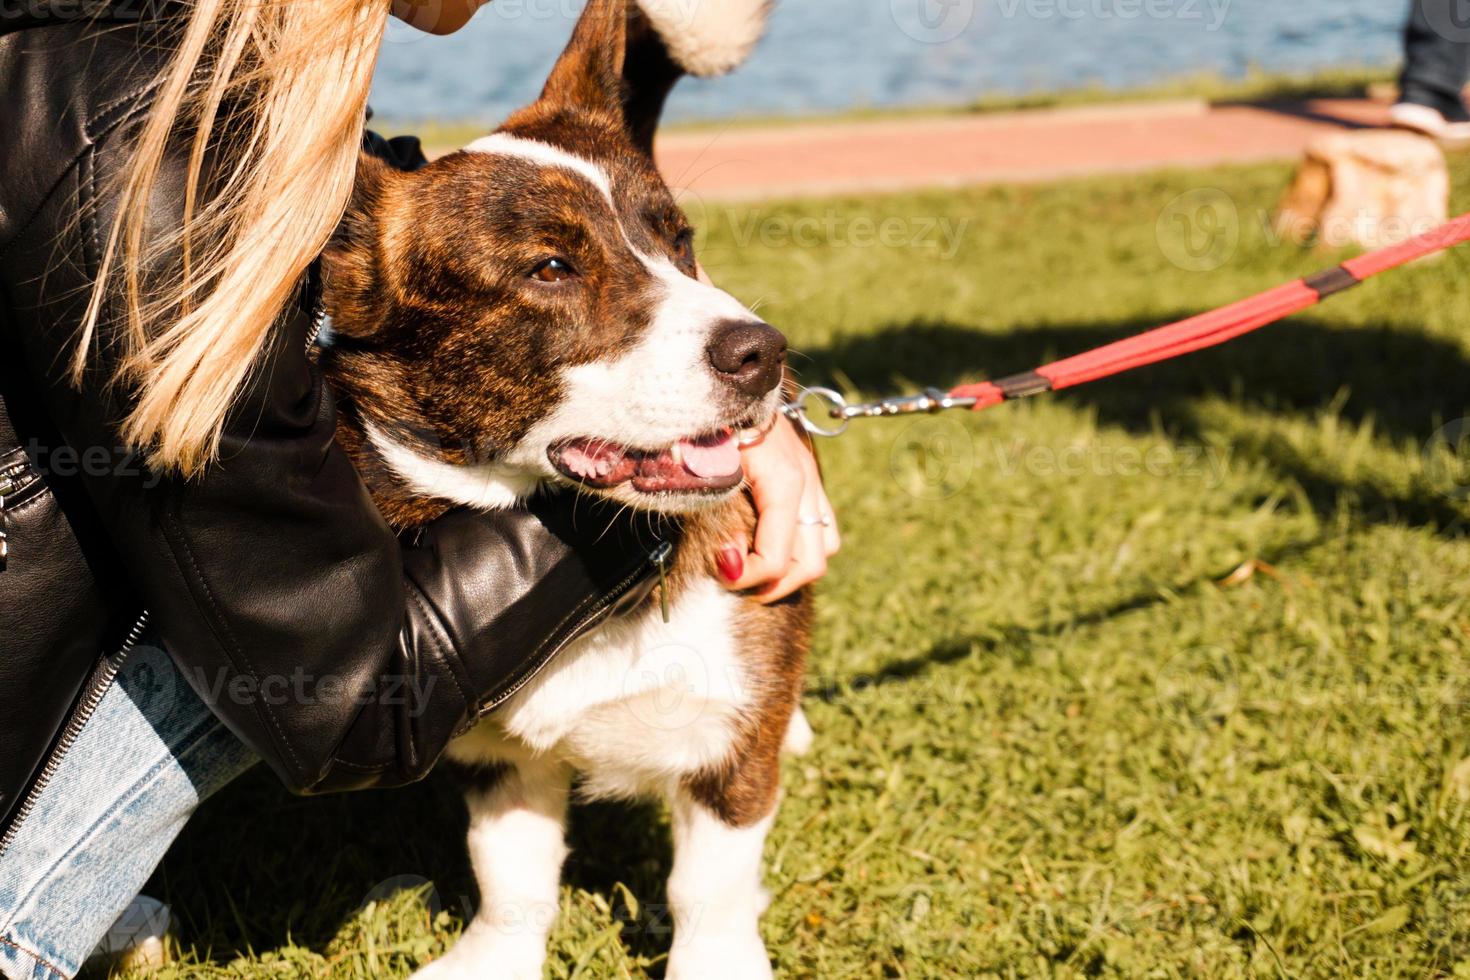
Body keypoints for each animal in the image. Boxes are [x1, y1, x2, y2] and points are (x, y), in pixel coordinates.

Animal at [318, 3, 817, 975]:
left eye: (679, 242)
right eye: (550, 268)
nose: (764, 353)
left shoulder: (729, 749)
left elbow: (710, 891)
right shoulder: (496, 758)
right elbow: (510, 877)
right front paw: (492, 958)